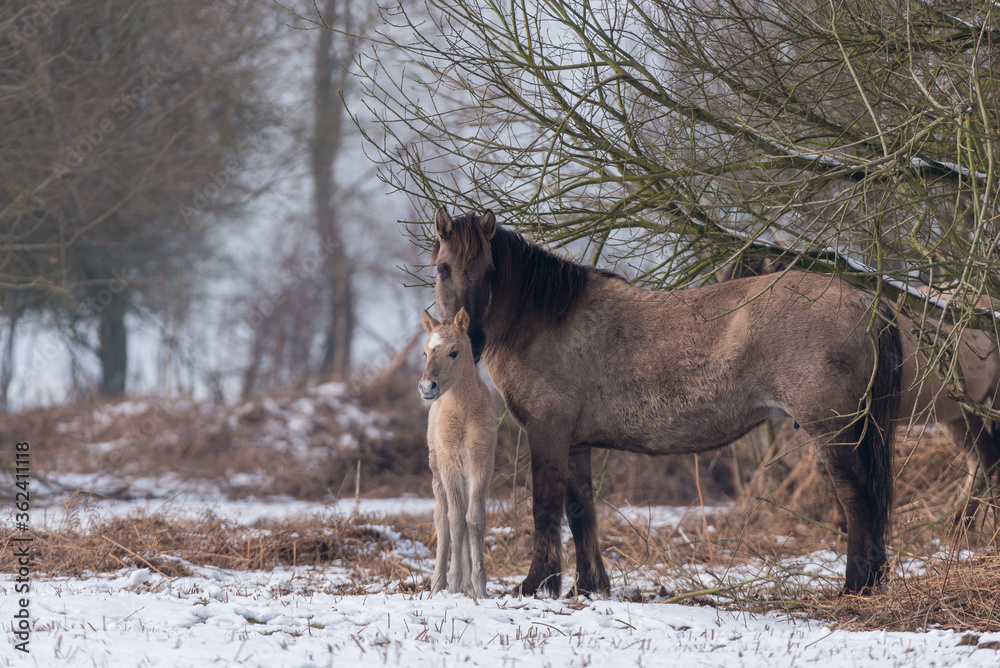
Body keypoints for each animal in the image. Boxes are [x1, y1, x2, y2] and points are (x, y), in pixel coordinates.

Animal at [434, 207, 904, 596]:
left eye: (490, 271)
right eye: (443, 268)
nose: (469, 339)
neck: (544, 320)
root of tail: (867, 302)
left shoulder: (547, 431)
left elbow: (545, 508)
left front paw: (535, 585)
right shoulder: (574, 442)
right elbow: (580, 510)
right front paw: (588, 586)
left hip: (834, 431)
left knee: (857, 500)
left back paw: (855, 586)